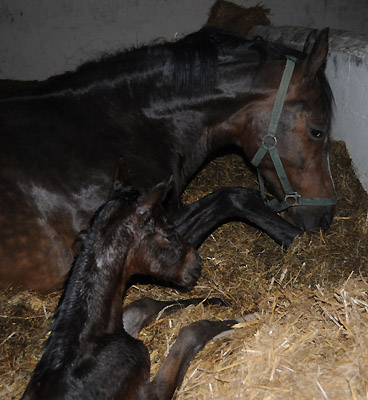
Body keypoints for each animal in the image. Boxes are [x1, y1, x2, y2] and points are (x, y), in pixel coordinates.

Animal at [20, 164, 239, 398]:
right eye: (168, 232)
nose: (196, 263)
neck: (83, 343)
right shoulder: (148, 393)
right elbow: (190, 332)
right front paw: (235, 320)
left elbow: (145, 304)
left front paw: (216, 301)